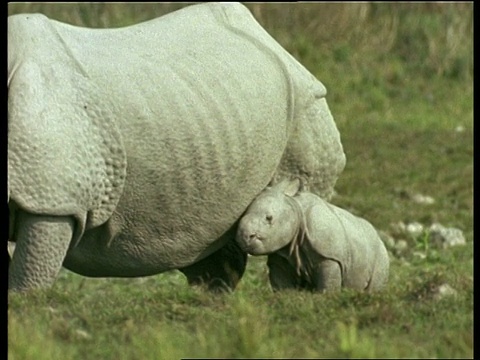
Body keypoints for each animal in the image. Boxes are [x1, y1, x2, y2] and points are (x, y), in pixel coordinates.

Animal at [236, 179, 390, 292]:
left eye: (269, 218)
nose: (244, 237)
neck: (296, 210)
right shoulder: (281, 255)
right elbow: (282, 286)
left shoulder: (330, 256)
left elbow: (328, 286)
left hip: (380, 254)